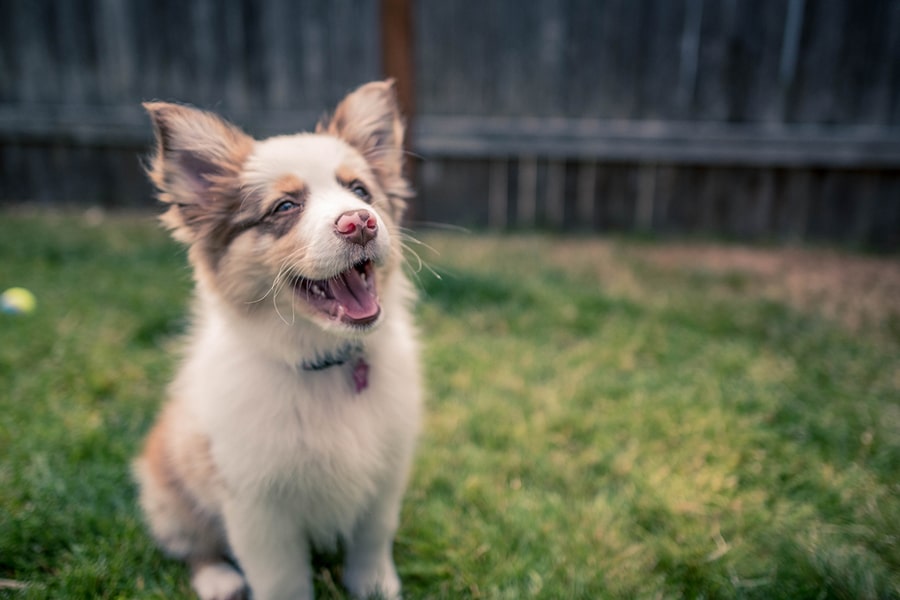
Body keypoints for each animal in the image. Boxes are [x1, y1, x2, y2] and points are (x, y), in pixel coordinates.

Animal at [134, 81, 422, 600]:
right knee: (193, 547)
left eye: (360, 190)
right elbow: (282, 577)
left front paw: (375, 586)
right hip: (168, 493)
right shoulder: (257, 504)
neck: (323, 361)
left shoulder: (386, 474)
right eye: (285, 206)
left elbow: (373, 539)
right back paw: (219, 580)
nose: (360, 222)